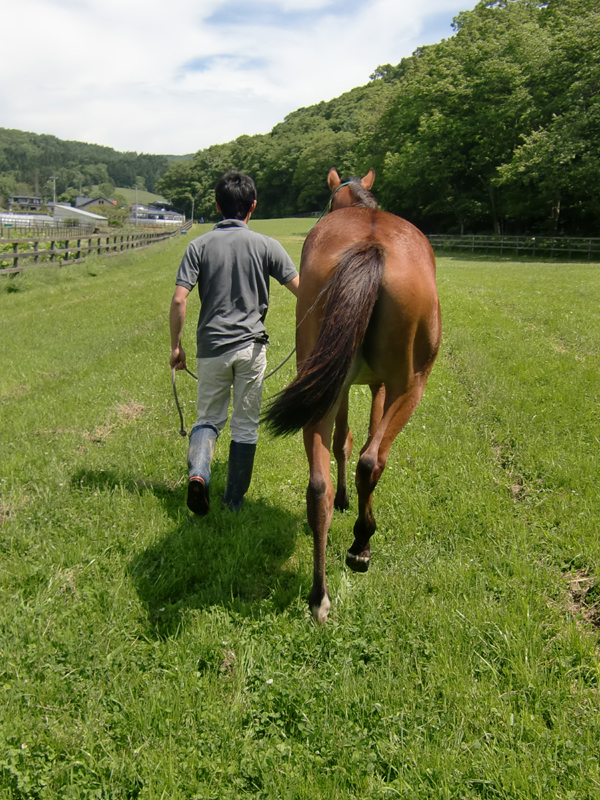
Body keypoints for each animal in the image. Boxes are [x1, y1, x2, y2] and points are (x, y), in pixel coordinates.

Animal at [268, 169, 440, 624]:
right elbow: (355, 446)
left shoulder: (338, 386)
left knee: (318, 487)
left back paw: (318, 595)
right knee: (371, 460)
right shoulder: (376, 386)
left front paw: (344, 501)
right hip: (410, 387)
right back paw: (361, 545)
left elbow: (340, 443)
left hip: (317, 388)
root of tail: (371, 244)